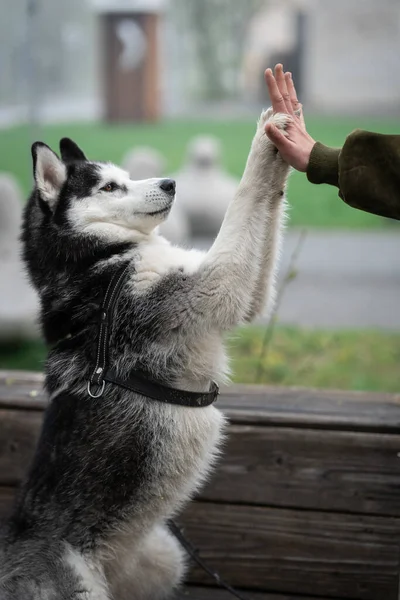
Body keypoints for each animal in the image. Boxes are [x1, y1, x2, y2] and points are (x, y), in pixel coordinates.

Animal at [0, 109, 290, 600]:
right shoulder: (216, 284)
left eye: (128, 176)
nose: (171, 182)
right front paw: (265, 137)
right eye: (109, 187)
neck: (100, 260)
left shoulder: (237, 289)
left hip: (166, 557)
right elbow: (243, 198)